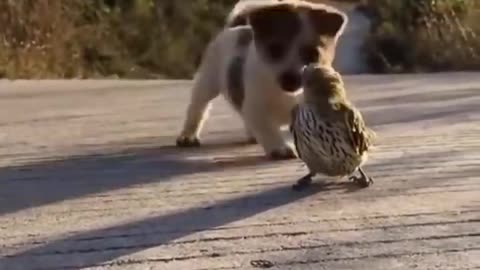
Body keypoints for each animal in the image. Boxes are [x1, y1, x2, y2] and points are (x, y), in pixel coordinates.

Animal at [174, 0, 346, 159]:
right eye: (275, 49)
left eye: (312, 55)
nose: (290, 78)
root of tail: (237, 26)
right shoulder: (256, 108)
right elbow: (267, 128)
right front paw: (280, 148)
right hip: (207, 81)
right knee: (197, 107)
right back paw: (188, 135)